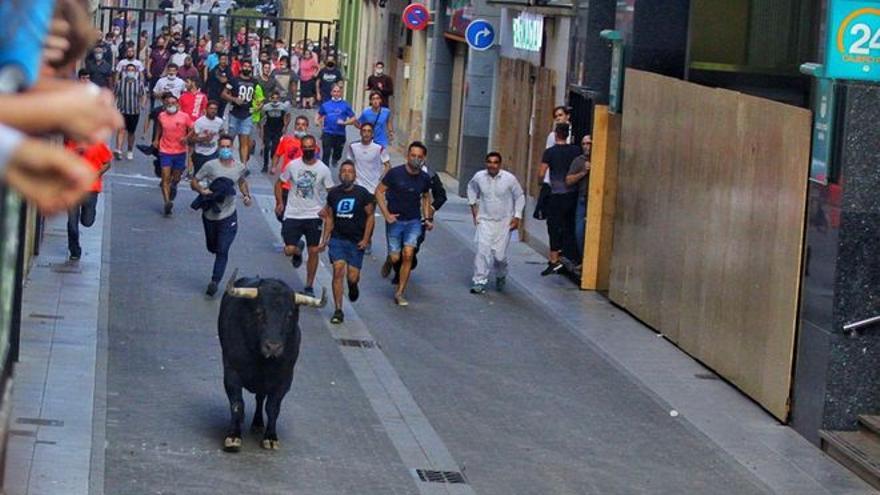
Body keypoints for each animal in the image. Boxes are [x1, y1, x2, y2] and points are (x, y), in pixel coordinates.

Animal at [217, 276, 324, 454]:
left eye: (289, 315)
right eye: (260, 312)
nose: (273, 347)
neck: (261, 361)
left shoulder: (284, 380)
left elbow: (273, 408)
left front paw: (271, 438)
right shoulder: (232, 372)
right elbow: (237, 404)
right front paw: (233, 437)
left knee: (260, 399)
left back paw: (258, 423)